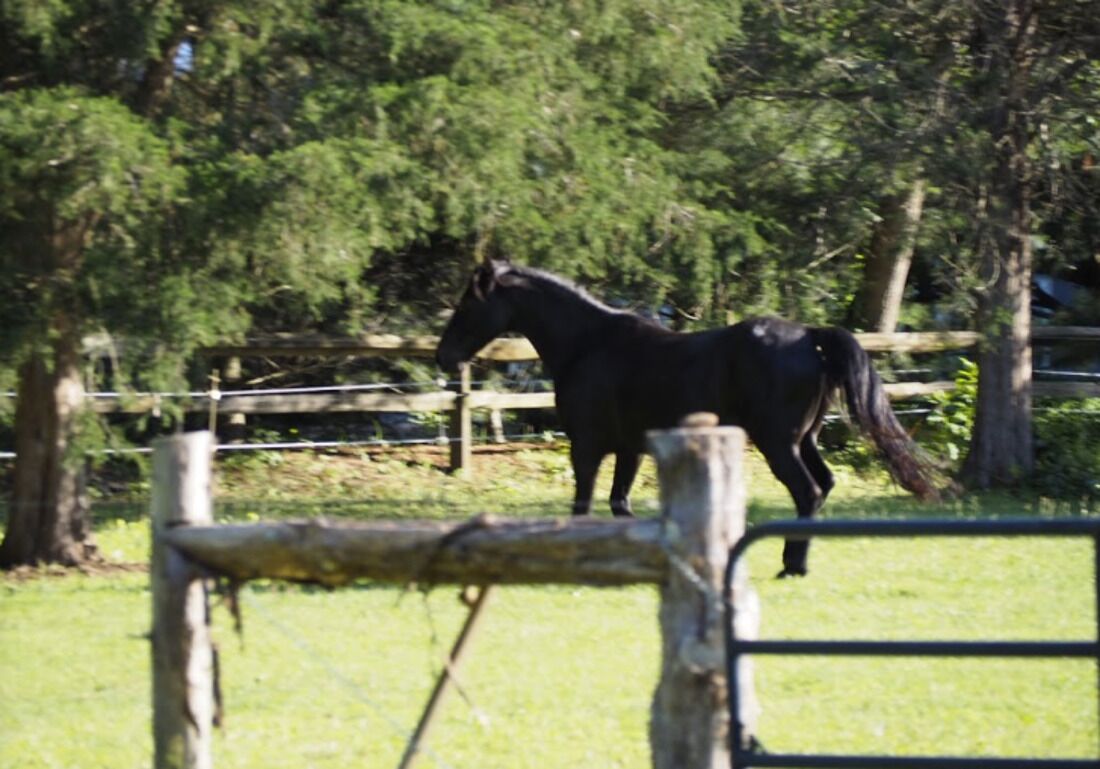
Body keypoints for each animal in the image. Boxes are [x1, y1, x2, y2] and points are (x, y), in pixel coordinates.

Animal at [436, 260, 938, 576]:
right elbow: (621, 507)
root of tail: (809, 336)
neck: (589, 344)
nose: (444, 356)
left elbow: (583, 506)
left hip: (778, 443)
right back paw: (796, 562)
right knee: (824, 486)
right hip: (804, 440)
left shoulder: (587, 445)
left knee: (808, 492)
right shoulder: (630, 450)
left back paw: (791, 567)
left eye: (468, 305)